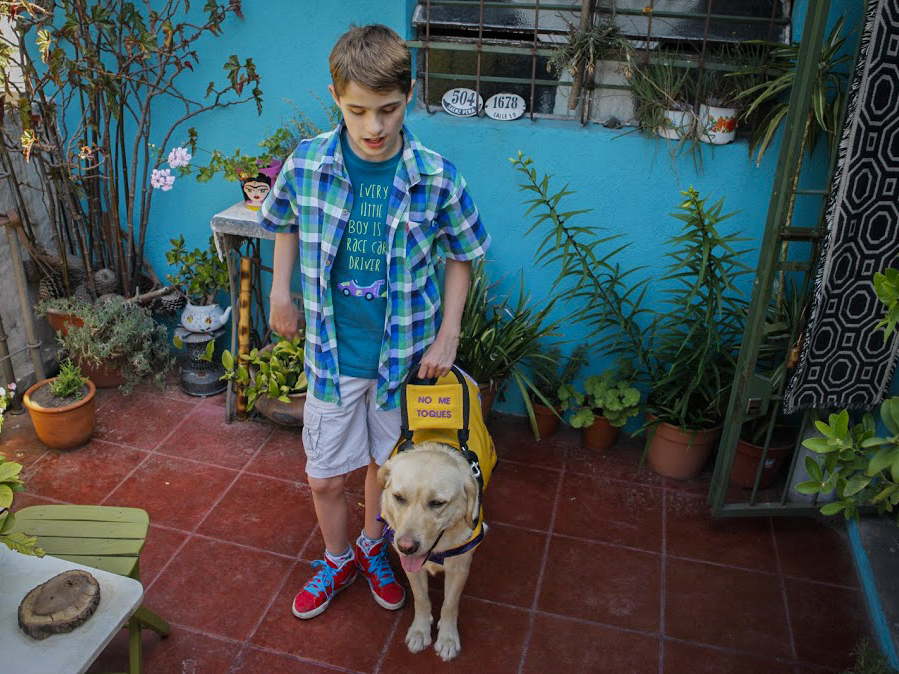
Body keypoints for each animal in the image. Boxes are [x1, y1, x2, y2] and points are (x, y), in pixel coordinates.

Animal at [378, 438, 486, 660]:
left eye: (437, 503)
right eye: (398, 497)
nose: (405, 547)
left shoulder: (459, 569)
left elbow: (449, 605)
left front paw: (447, 638)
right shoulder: (412, 569)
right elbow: (421, 599)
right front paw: (420, 631)